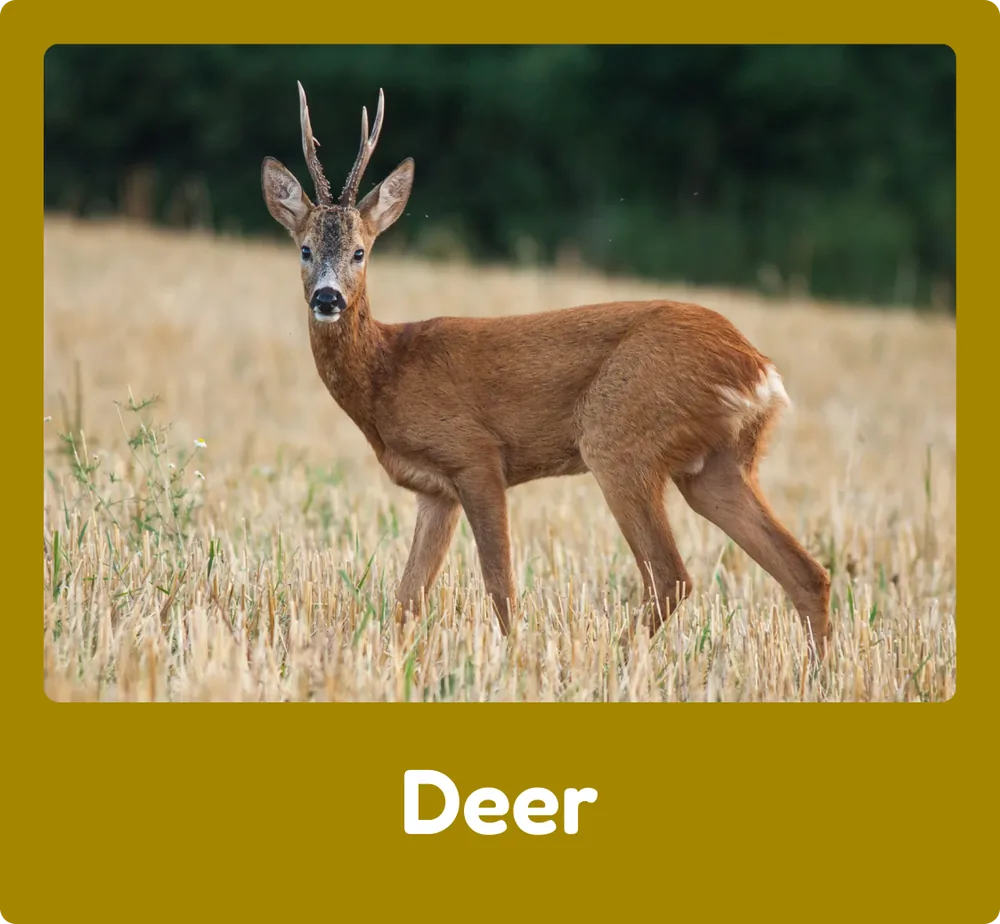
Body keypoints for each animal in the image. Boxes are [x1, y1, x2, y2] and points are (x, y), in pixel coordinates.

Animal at [261, 84, 832, 657]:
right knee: (807, 573)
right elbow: (407, 600)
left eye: (360, 252)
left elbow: (500, 587)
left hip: (620, 439)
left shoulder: (476, 456)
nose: (328, 298)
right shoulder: (435, 491)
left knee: (671, 577)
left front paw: (513, 657)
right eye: (305, 249)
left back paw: (613, 658)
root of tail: (758, 368)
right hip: (717, 466)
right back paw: (816, 670)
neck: (387, 372)